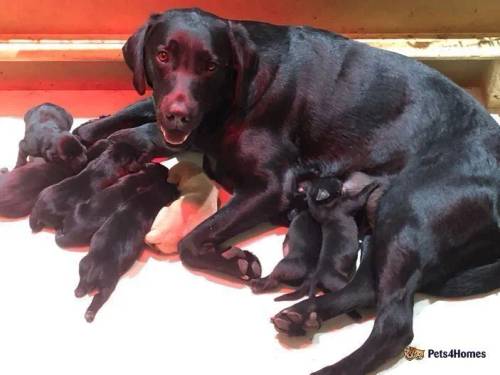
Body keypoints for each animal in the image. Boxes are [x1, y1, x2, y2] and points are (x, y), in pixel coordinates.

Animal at [76, 167, 180, 324]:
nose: (178, 188)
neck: (150, 195)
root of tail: (93, 272)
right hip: (109, 282)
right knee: (99, 298)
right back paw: (90, 314)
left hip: (83, 263)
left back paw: (78, 292)